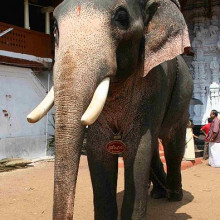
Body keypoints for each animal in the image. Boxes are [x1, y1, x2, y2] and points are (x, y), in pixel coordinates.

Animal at [27, 0, 192, 219]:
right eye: (54, 27)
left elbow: (138, 148)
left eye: (121, 18)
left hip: (183, 91)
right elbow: (98, 148)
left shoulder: (155, 83)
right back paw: (158, 193)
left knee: (172, 141)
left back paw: (174, 196)